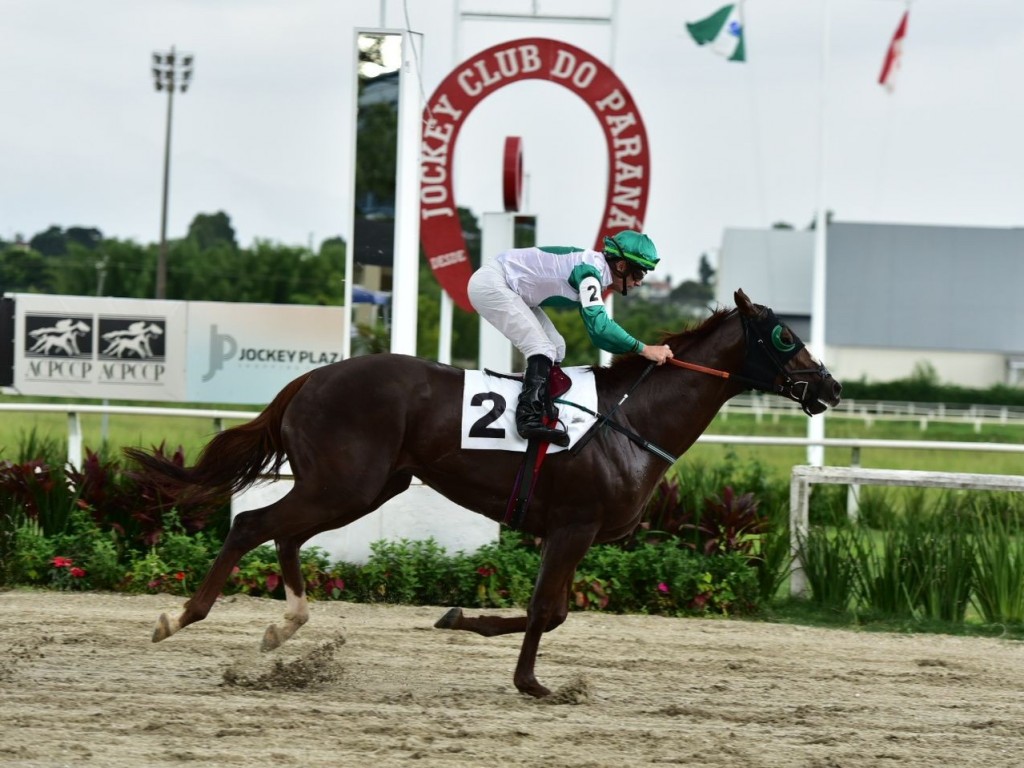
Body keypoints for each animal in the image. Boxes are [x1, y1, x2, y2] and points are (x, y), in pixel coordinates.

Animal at [125, 288, 839, 696]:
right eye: (785, 335)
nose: (830, 387)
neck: (630, 419)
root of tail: (311, 379)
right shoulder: (573, 526)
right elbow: (549, 611)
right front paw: (532, 683)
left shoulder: (564, 531)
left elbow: (549, 611)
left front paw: (460, 621)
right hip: (345, 482)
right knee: (253, 526)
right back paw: (179, 619)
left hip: (360, 488)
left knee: (285, 534)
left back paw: (285, 626)